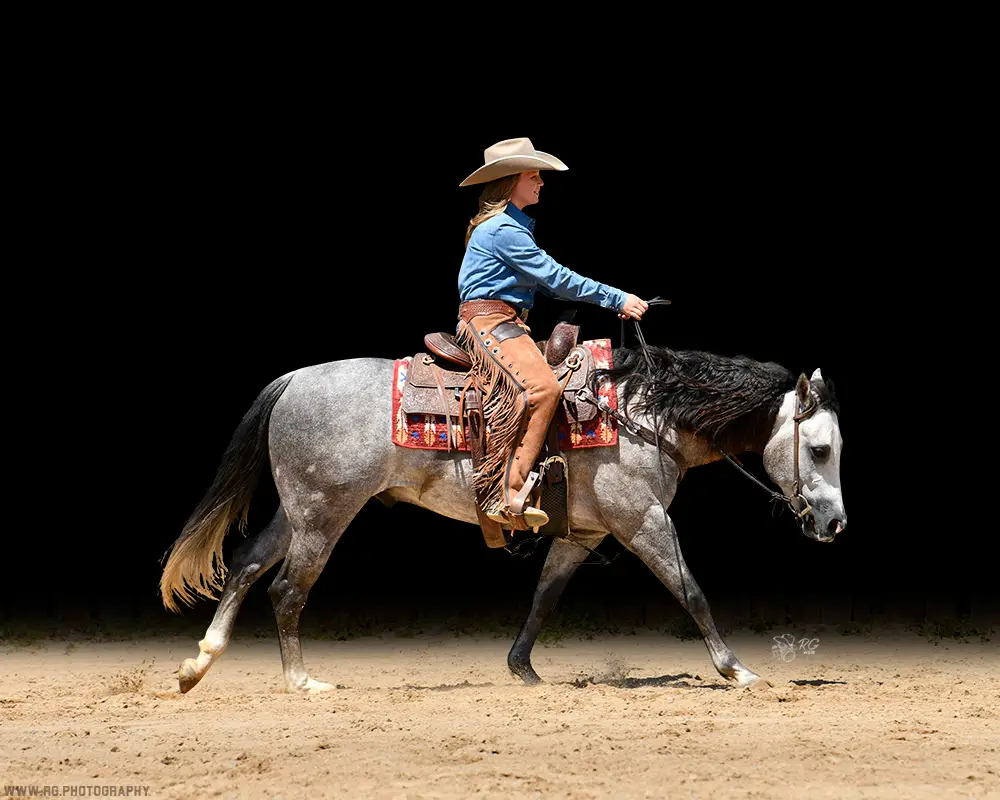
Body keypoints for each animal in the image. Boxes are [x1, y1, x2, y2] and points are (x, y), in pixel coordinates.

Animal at [159, 342, 846, 694]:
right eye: (819, 449)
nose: (835, 524)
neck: (643, 414)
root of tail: (295, 379)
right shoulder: (643, 521)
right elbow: (691, 591)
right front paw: (736, 669)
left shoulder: (583, 533)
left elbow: (544, 597)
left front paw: (523, 668)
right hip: (326, 513)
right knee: (286, 588)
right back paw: (301, 681)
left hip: (298, 512)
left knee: (246, 566)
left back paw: (199, 664)